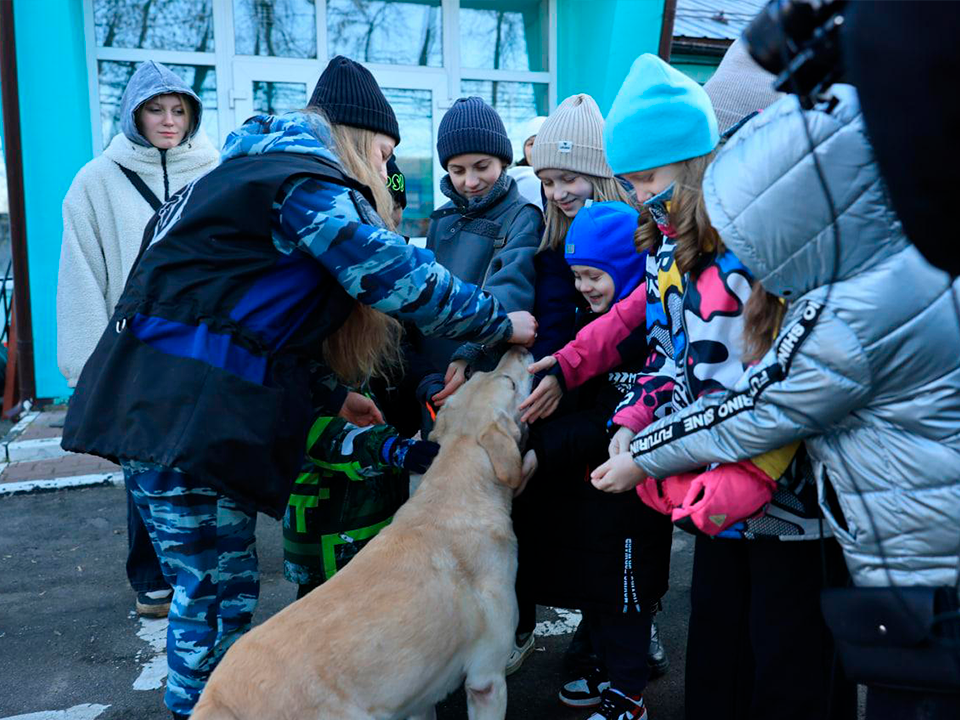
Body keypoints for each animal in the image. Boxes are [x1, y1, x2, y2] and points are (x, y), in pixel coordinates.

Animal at [191, 346, 536, 716]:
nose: (517, 347)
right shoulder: (487, 681)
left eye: (476, 375)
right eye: (509, 381)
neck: (456, 489)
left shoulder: (420, 697)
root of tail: (218, 701)